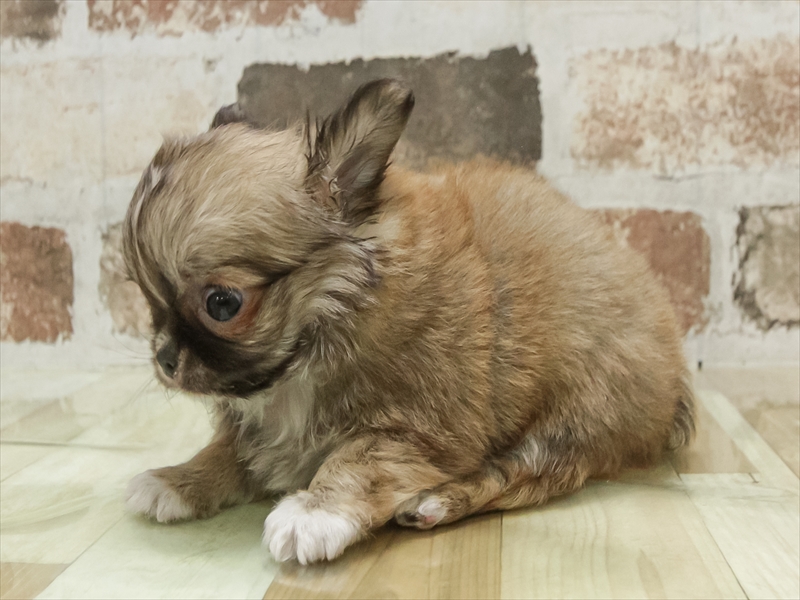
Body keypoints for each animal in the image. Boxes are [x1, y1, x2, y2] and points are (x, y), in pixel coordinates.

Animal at [123, 79, 695, 564]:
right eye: (144, 295)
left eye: (222, 304)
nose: (165, 358)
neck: (328, 323)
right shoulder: (258, 425)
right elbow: (230, 450)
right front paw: (181, 478)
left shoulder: (421, 429)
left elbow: (360, 458)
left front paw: (315, 511)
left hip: (577, 412)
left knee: (528, 474)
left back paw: (436, 503)